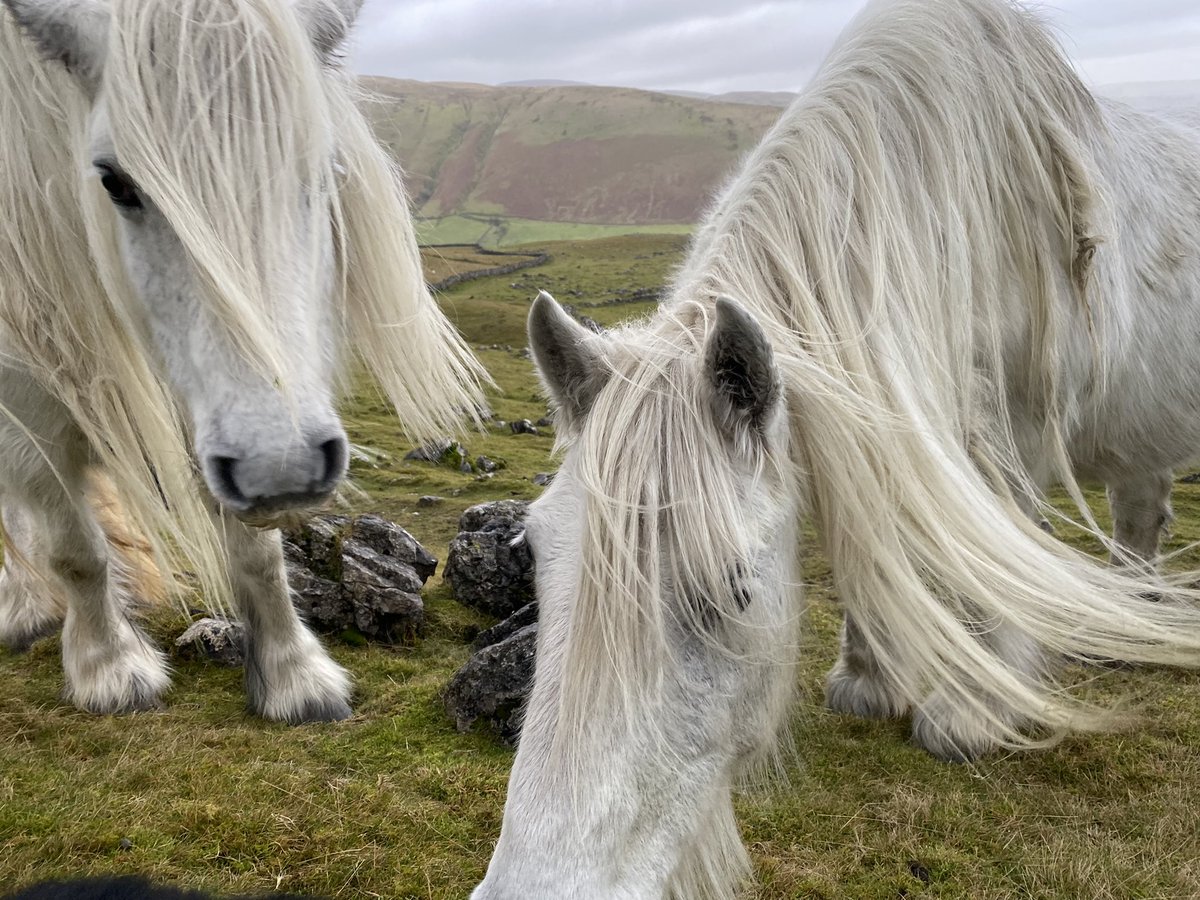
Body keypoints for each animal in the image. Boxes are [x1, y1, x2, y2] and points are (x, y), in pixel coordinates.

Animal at [0, 0, 484, 722]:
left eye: (325, 166)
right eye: (115, 182)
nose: (283, 470)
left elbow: (258, 551)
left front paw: (293, 675)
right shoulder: (28, 387)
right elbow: (75, 547)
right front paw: (109, 669)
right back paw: (23, 606)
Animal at [471, 0, 1200, 897]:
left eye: (736, 590)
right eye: (537, 556)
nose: (534, 887)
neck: (942, 216)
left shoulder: (1013, 443)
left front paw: (968, 715)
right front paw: (869, 679)